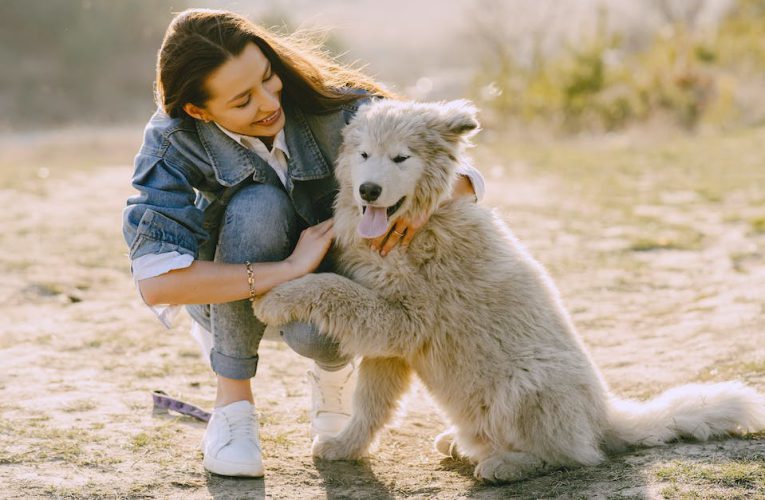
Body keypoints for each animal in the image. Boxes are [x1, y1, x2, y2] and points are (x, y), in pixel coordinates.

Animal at [252, 98, 764, 484]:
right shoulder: (392, 347)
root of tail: (605, 418)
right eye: (362, 155)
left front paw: (274, 299)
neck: (420, 223)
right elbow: (370, 405)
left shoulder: (402, 319)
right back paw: (462, 444)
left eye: (401, 158)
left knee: (573, 456)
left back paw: (505, 465)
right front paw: (345, 446)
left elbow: (332, 287)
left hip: (526, 384)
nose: (369, 190)